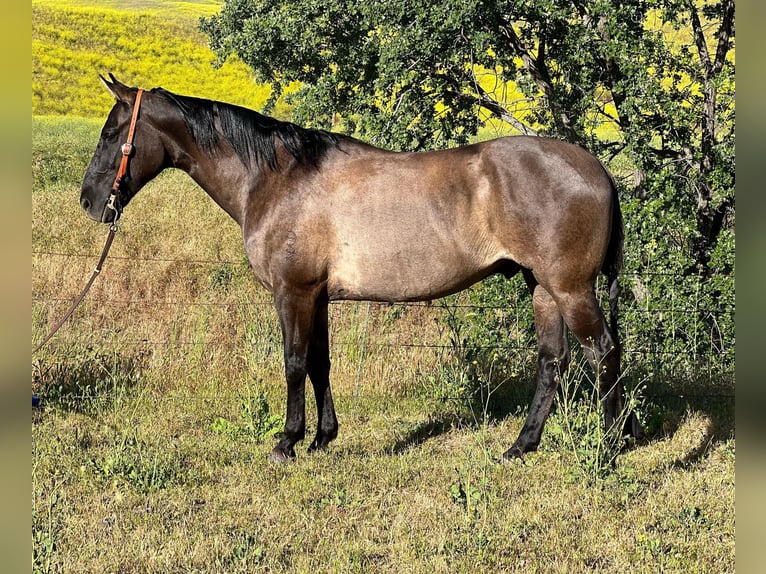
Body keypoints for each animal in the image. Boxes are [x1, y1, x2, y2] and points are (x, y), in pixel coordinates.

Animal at [81, 75, 644, 464]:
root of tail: (598, 169)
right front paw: (321, 438)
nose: (89, 202)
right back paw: (520, 447)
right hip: (543, 288)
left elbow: (294, 363)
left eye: (112, 132)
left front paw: (287, 442)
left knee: (603, 352)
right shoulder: (317, 296)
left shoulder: (293, 292)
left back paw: (610, 445)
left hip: (570, 288)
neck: (278, 178)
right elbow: (319, 363)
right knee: (553, 361)